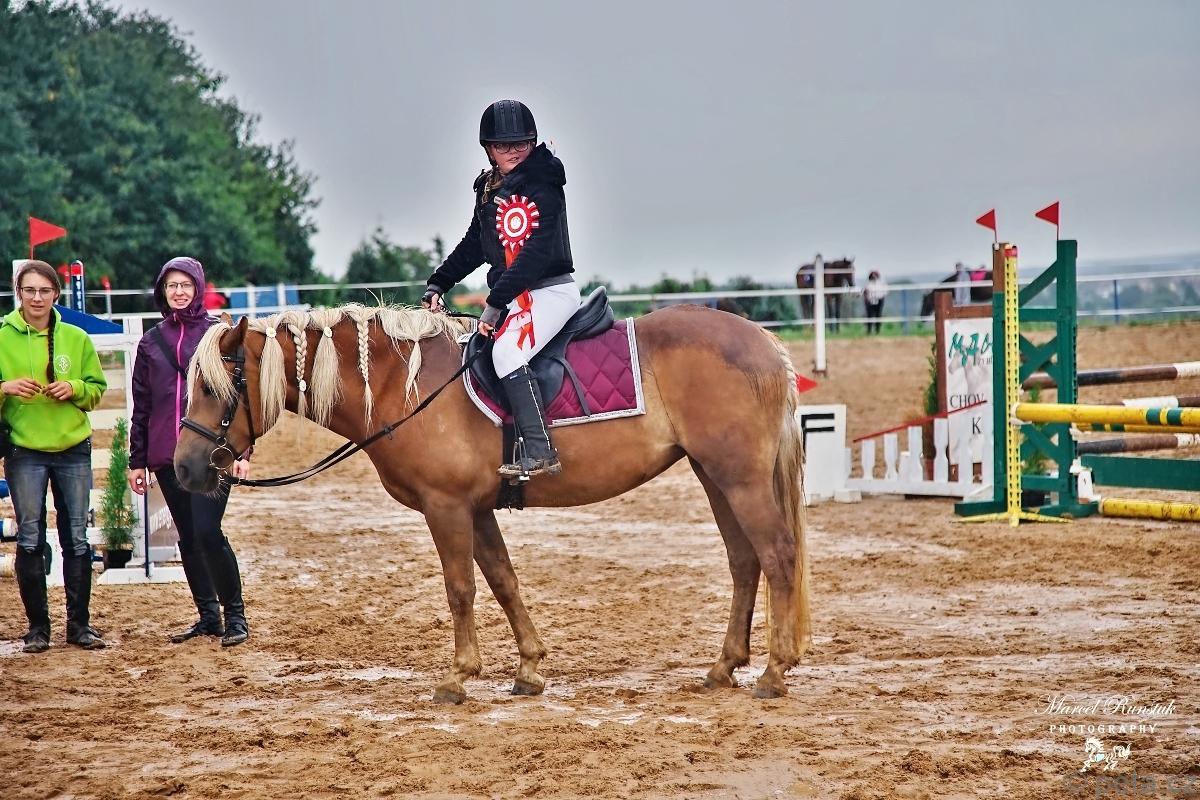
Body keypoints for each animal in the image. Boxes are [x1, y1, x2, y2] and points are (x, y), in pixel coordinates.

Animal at [173, 303, 811, 704]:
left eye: (212, 387)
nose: (181, 469)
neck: (402, 386)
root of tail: (762, 340)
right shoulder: (477, 510)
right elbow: (503, 580)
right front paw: (528, 669)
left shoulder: (448, 507)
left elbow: (460, 588)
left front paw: (459, 677)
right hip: (715, 476)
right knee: (744, 561)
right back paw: (724, 666)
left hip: (739, 478)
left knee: (777, 555)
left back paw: (774, 671)